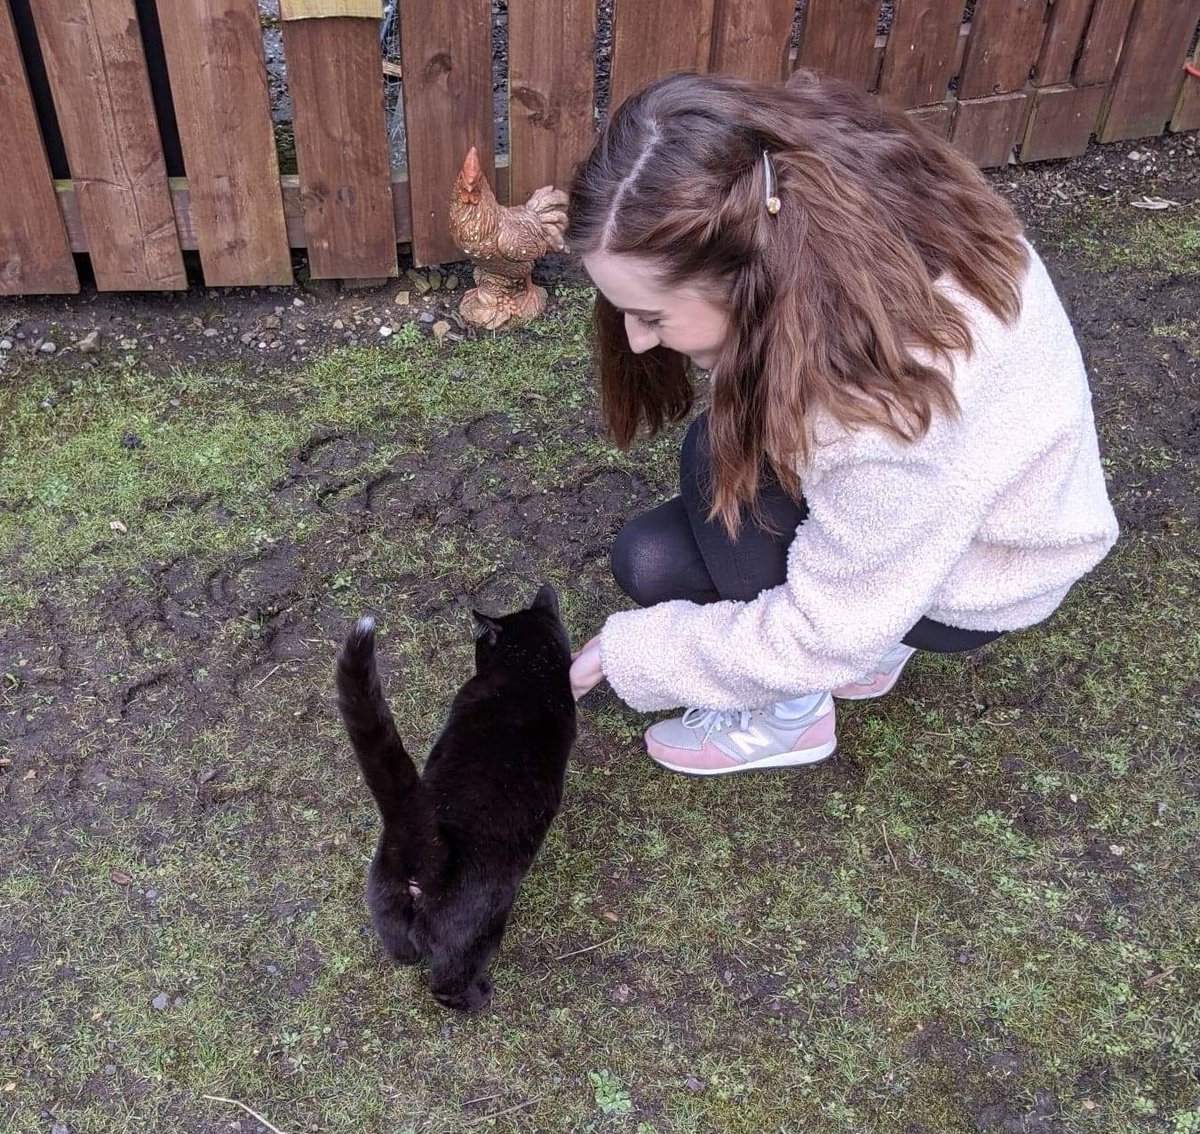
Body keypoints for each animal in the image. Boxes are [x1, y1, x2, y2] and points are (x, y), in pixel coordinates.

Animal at [336, 583, 578, 1008]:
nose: (474, 646)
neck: (528, 672)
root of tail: (423, 854)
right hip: (478, 931)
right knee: (446, 982)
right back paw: (478, 997)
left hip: (386, 906)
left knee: (403, 954)